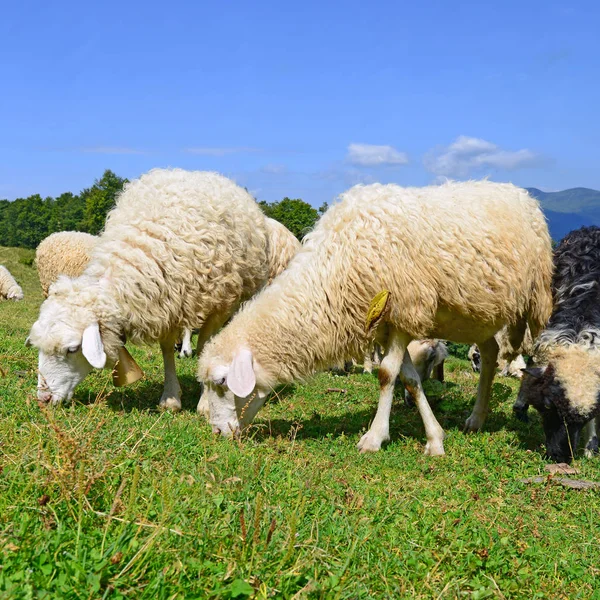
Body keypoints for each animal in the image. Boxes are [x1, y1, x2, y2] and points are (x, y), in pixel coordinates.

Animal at [25, 169, 274, 412]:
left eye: (72, 349)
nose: (44, 399)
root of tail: (203, 173)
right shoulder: (166, 304)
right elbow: (166, 350)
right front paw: (171, 397)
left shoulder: (218, 305)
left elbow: (206, 347)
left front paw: (205, 402)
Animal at [198, 180, 552, 458]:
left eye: (222, 382)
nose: (216, 432)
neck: (331, 276)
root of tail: (519, 192)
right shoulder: (388, 327)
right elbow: (409, 378)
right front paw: (435, 438)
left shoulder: (404, 313)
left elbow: (386, 374)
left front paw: (374, 437)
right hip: (478, 317)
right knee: (490, 354)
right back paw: (477, 419)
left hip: (538, 301)